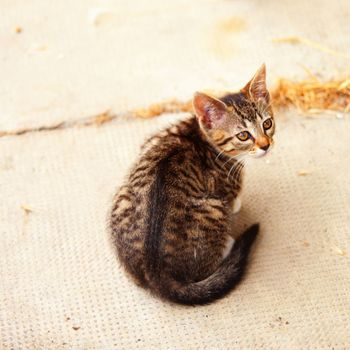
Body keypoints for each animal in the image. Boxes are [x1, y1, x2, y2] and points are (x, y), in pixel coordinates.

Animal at [110, 64, 274, 304]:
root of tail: (157, 275)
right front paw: (237, 204)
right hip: (214, 208)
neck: (199, 134)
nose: (265, 145)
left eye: (267, 124)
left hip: (121, 196)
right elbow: (234, 197)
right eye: (243, 136)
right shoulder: (227, 186)